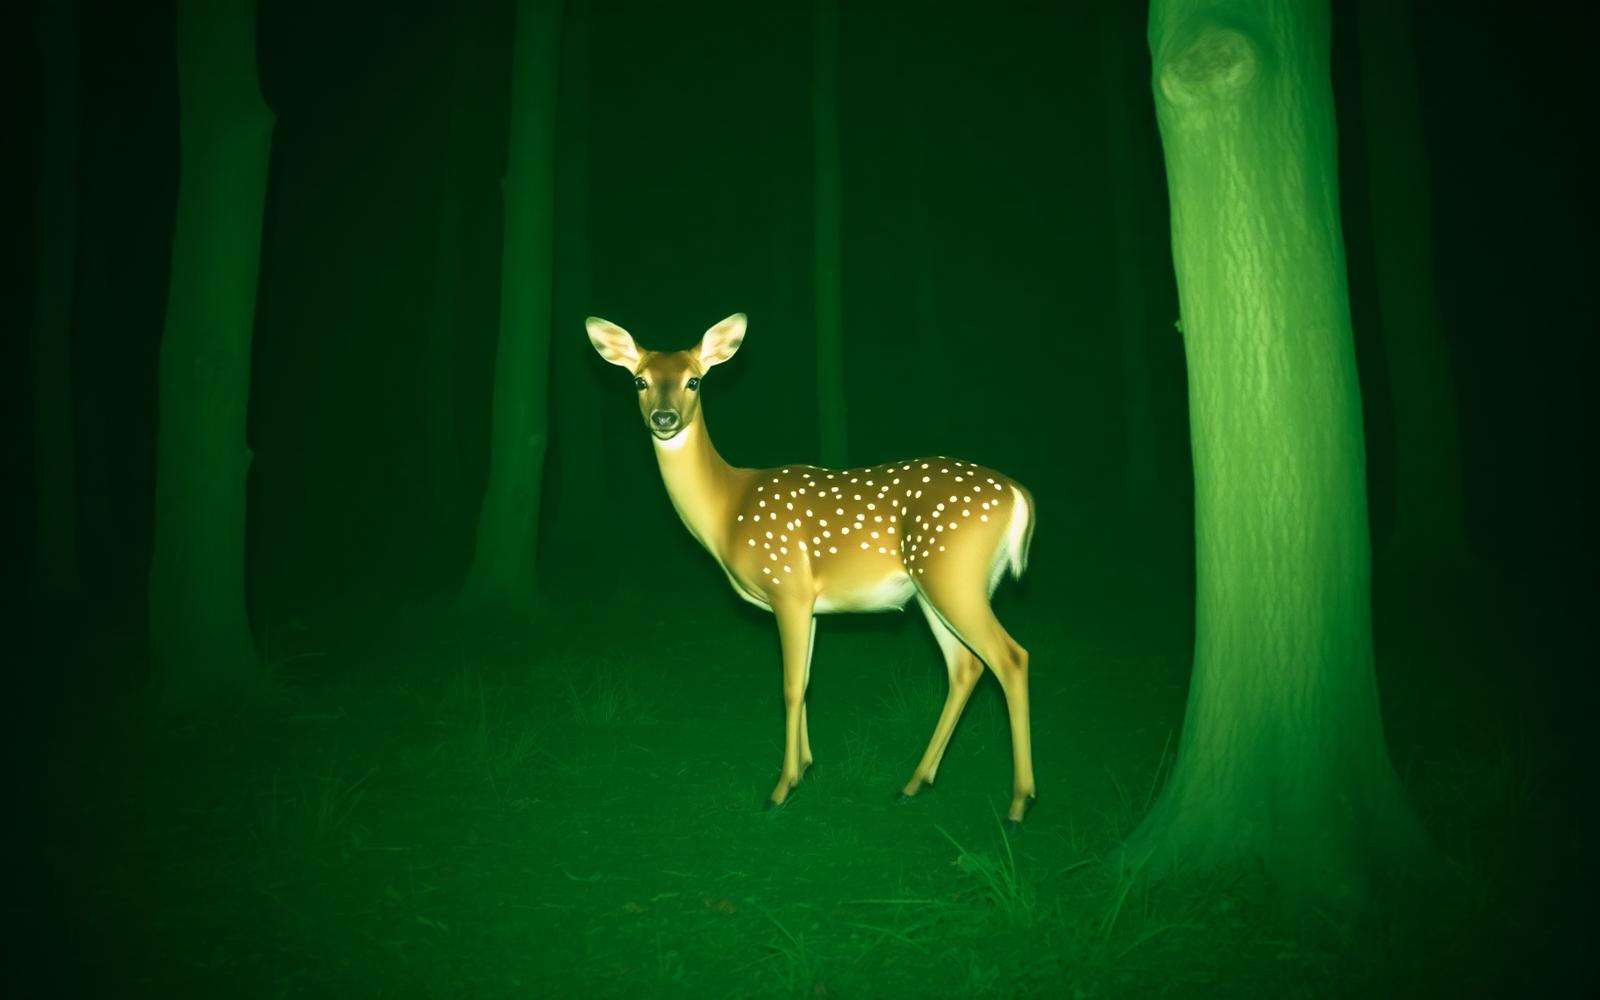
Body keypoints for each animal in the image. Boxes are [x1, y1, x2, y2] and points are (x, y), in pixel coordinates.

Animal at [587, 313, 1038, 824]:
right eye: (639, 381)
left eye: (694, 381)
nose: (663, 419)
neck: (728, 511)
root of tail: (1018, 495)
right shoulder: (811, 604)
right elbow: (804, 681)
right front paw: (806, 768)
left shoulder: (787, 585)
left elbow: (787, 686)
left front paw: (780, 788)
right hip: (934, 590)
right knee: (965, 667)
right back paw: (914, 783)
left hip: (952, 574)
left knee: (1011, 658)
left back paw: (1019, 801)